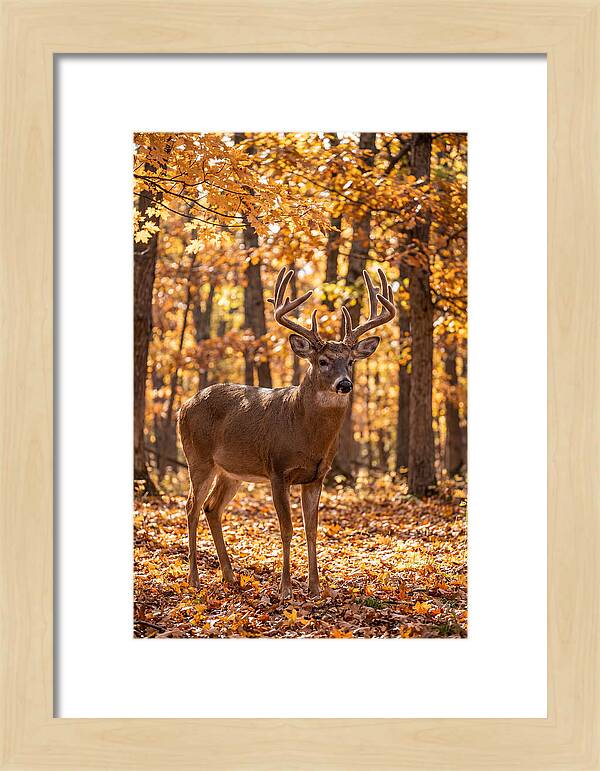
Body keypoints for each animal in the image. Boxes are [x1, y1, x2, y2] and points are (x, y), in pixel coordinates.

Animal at [178, 266, 396, 600]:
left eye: (350, 361)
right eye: (322, 361)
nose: (345, 384)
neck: (305, 433)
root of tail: (183, 406)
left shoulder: (317, 476)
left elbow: (312, 530)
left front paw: (316, 588)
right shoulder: (277, 470)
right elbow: (286, 528)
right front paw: (285, 589)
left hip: (231, 471)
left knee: (212, 508)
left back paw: (230, 576)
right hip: (198, 458)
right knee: (191, 507)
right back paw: (194, 579)